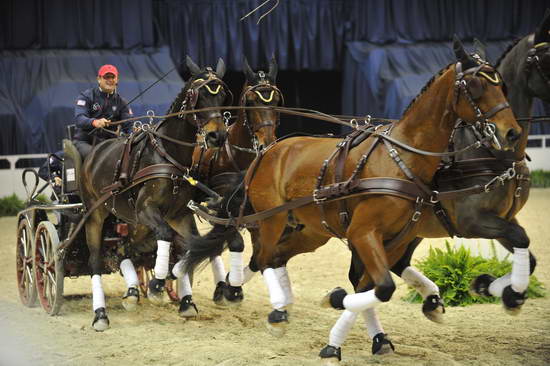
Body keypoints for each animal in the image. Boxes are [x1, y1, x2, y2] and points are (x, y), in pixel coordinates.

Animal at [80, 56, 231, 332]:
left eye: (223, 95)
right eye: (198, 95)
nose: (218, 136)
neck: (167, 154)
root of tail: (95, 151)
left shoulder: (178, 215)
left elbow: (191, 245)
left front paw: (184, 297)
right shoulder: (146, 208)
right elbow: (166, 235)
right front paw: (158, 284)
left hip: (128, 219)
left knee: (127, 249)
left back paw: (131, 294)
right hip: (95, 216)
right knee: (95, 261)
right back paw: (100, 315)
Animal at [174, 55, 284, 316]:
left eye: (276, 100)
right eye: (251, 101)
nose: (267, 143)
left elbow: (257, 250)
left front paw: (231, 285)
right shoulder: (225, 203)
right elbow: (235, 241)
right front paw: (232, 289)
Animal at [328, 12, 550, 358]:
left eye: (500, 84)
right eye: (547, 59)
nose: (511, 132)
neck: (490, 152)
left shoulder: (504, 219)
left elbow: (528, 251)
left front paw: (493, 287)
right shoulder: (473, 222)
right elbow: (522, 240)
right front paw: (504, 292)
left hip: (411, 229)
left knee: (392, 266)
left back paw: (430, 301)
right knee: (365, 277)